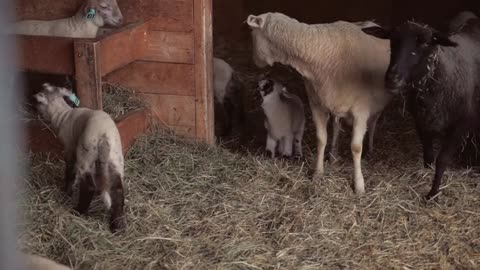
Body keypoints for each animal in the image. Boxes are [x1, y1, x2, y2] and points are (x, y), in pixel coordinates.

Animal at [34, 83, 127, 231]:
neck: (62, 115)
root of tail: (103, 137)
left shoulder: (69, 147)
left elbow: (70, 171)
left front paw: (67, 191)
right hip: (115, 158)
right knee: (117, 190)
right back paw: (117, 226)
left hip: (86, 155)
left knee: (89, 186)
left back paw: (78, 211)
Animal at [246, 13, 392, 194]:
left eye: (252, 33)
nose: (254, 61)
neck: (319, 53)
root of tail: (372, 22)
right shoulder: (316, 104)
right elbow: (321, 139)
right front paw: (318, 173)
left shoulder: (361, 110)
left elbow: (356, 147)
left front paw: (359, 185)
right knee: (336, 126)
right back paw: (333, 155)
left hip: (376, 104)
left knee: (373, 123)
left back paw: (370, 148)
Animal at [362, 19, 480, 199]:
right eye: (393, 39)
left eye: (424, 43)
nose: (392, 78)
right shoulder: (421, 122)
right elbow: (429, 157)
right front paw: (426, 175)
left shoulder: (461, 125)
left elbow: (442, 160)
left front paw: (432, 193)